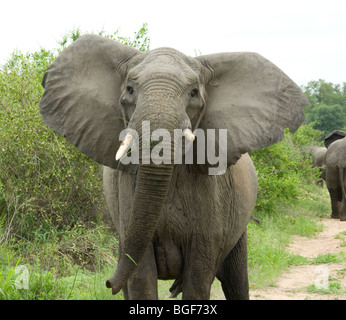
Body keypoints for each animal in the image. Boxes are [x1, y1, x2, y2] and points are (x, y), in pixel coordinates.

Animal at [38, 33, 308, 298]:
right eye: (130, 89)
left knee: (236, 281)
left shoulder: (213, 194)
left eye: (194, 93)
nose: (107, 282)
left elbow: (198, 279)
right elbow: (141, 278)